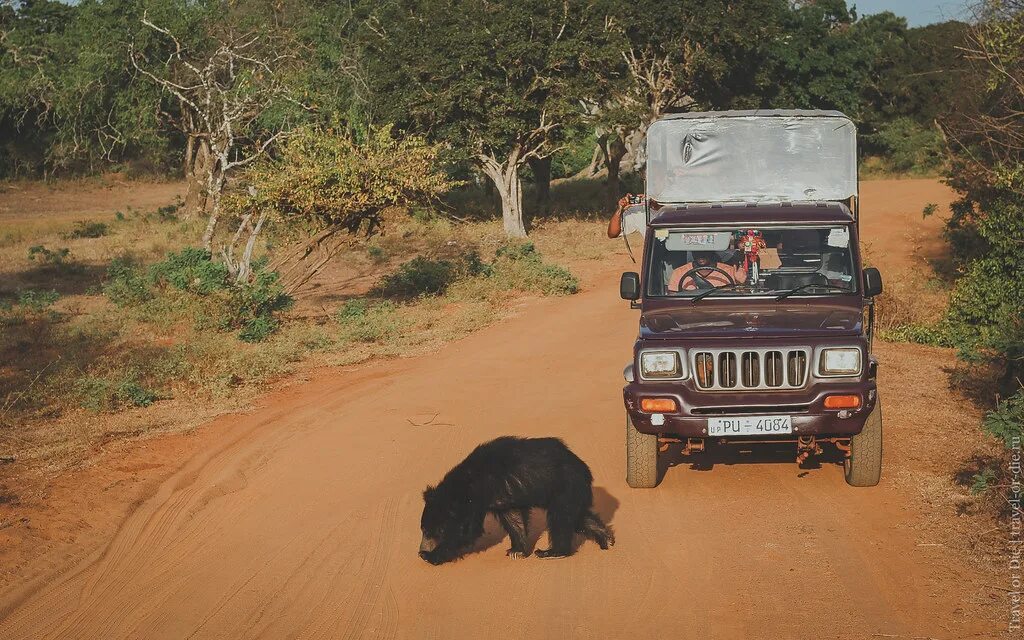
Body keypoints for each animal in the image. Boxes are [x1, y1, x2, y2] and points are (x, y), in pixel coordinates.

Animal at [417, 434, 610, 565]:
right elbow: (514, 519)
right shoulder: (503, 497)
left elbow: (467, 531)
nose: (420, 550)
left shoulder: (478, 498)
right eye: (423, 529)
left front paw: (430, 556)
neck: (463, 487)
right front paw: (516, 551)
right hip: (571, 491)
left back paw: (551, 552)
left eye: (429, 531)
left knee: (560, 519)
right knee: (577, 517)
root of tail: (585, 470)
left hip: (565, 486)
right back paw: (606, 538)